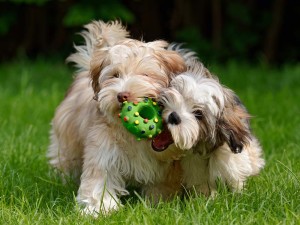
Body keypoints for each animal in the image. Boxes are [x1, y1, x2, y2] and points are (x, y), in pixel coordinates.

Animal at [47, 21, 186, 216]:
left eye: (145, 75)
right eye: (114, 76)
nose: (122, 95)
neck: (134, 136)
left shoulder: (164, 166)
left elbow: (161, 185)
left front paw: (159, 205)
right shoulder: (103, 148)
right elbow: (100, 177)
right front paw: (100, 208)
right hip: (67, 139)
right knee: (65, 159)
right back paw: (61, 181)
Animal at [155, 50, 264, 195]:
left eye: (198, 114)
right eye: (179, 95)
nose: (174, 116)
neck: (204, 149)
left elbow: (235, 179)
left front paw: (239, 194)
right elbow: (203, 187)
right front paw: (209, 197)